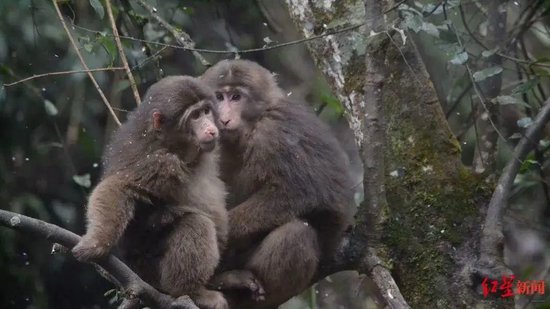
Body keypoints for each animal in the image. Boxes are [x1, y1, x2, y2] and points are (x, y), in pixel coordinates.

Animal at [71, 75, 231, 308]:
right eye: (195, 116)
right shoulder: (157, 162)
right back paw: (189, 291)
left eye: (206, 111)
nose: (210, 128)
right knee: (196, 223)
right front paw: (97, 242)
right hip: (150, 271)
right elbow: (119, 187)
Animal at [202, 60, 354, 308]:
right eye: (219, 97)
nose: (223, 118)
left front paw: (222, 230)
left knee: (297, 233)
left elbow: (303, 191)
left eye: (236, 97)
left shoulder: (274, 133)